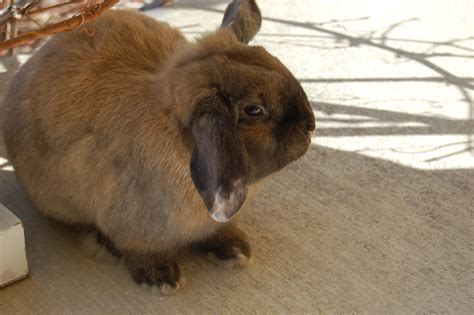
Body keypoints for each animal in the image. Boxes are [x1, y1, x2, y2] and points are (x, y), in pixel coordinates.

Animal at [3, 0, 316, 296]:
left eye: (271, 58)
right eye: (254, 110)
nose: (310, 125)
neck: (177, 133)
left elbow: (220, 232)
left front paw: (237, 251)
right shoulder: (133, 229)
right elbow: (140, 251)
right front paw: (162, 279)